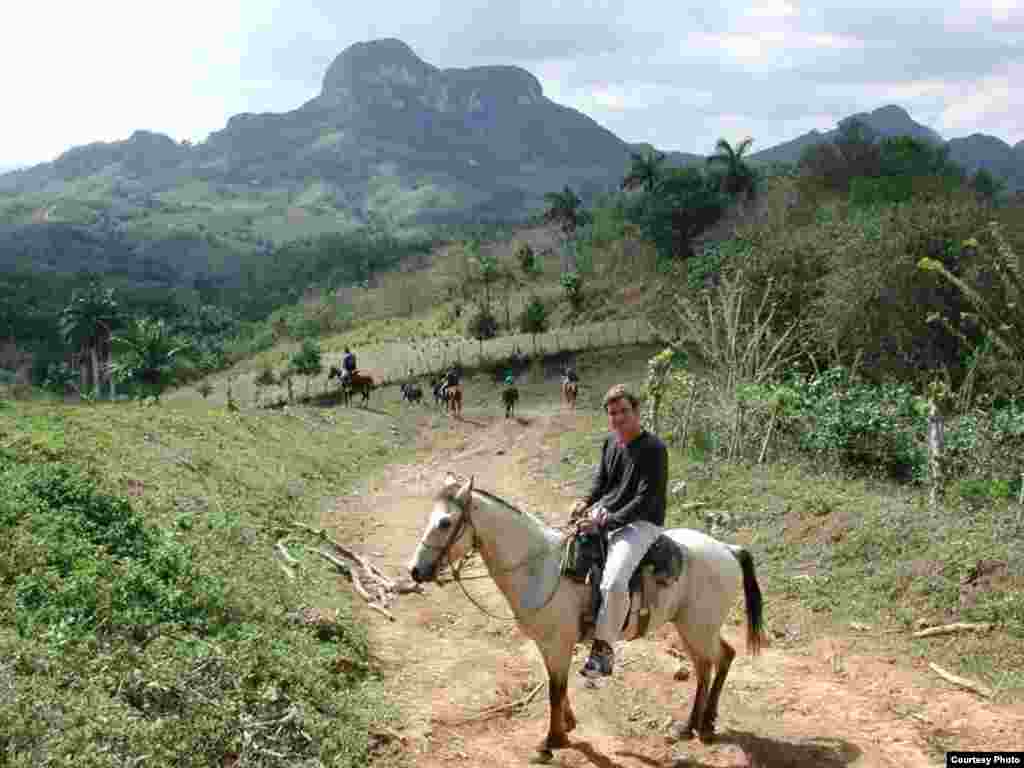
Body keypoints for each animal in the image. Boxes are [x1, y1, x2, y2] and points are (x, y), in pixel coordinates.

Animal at [407, 475, 770, 765]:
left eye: (444, 523)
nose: (415, 571)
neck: (541, 569)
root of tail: (727, 549)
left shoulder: (557, 643)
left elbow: (555, 690)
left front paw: (550, 742)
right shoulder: (549, 645)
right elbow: (557, 685)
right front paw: (566, 727)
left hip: (698, 626)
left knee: (715, 661)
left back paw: (702, 725)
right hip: (692, 627)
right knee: (712, 663)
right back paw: (696, 724)